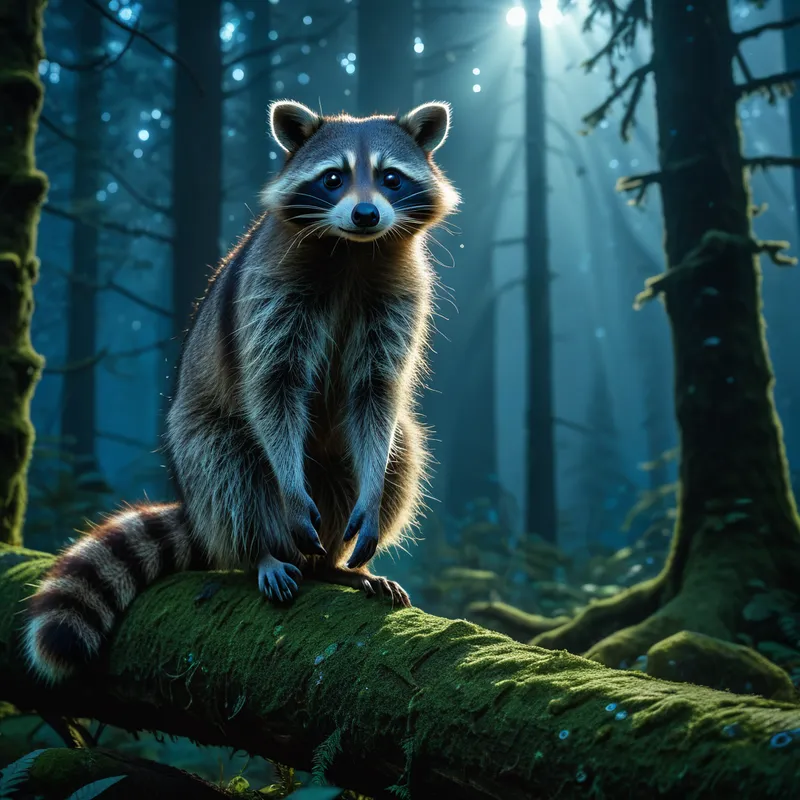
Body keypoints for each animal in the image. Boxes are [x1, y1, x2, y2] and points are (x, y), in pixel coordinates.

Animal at [23, 99, 460, 684]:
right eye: (333, 178)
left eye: (391, 178)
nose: (366, 215)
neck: (351, 250)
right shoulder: (269, 291)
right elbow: (273, 388)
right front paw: (286, 502)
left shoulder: (398, 297)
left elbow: (377, 397)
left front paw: (370, 497)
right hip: (199, 447)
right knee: (229, 466)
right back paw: (262, 551)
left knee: (403, 451)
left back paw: (339, 565)